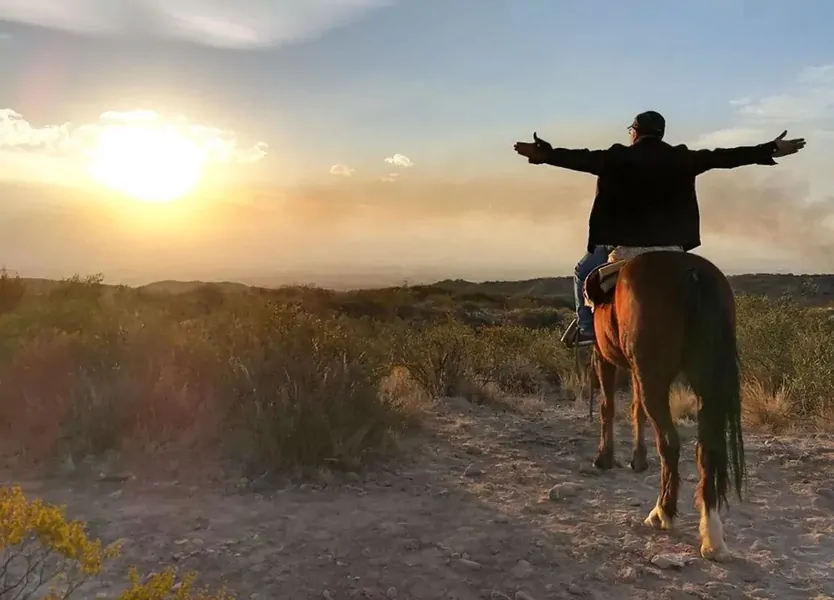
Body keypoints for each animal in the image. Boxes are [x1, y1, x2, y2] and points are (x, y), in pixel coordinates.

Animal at [582, 247, 745, 562]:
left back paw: (662, 513)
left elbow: (609, 406)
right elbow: (636, 410)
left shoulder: (604, 356)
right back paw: (712, 537)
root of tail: (692, 273)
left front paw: (604, 457)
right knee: (706, 449)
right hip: (704, 382)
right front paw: (638, 458)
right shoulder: (634, 369)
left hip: (653, 377)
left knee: (669, 443)